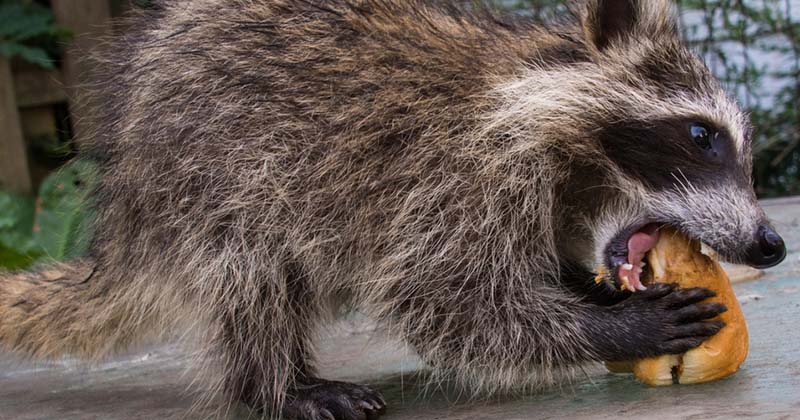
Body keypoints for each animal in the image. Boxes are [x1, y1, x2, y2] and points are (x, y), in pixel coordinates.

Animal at [0, 0, 787, 419]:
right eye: (702, 137)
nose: (771, 245)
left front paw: (591, 295)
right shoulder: (454, 170)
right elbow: (446, 298)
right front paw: (616, 326)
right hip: (207, 168)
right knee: (249, 265)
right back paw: (275, 383)